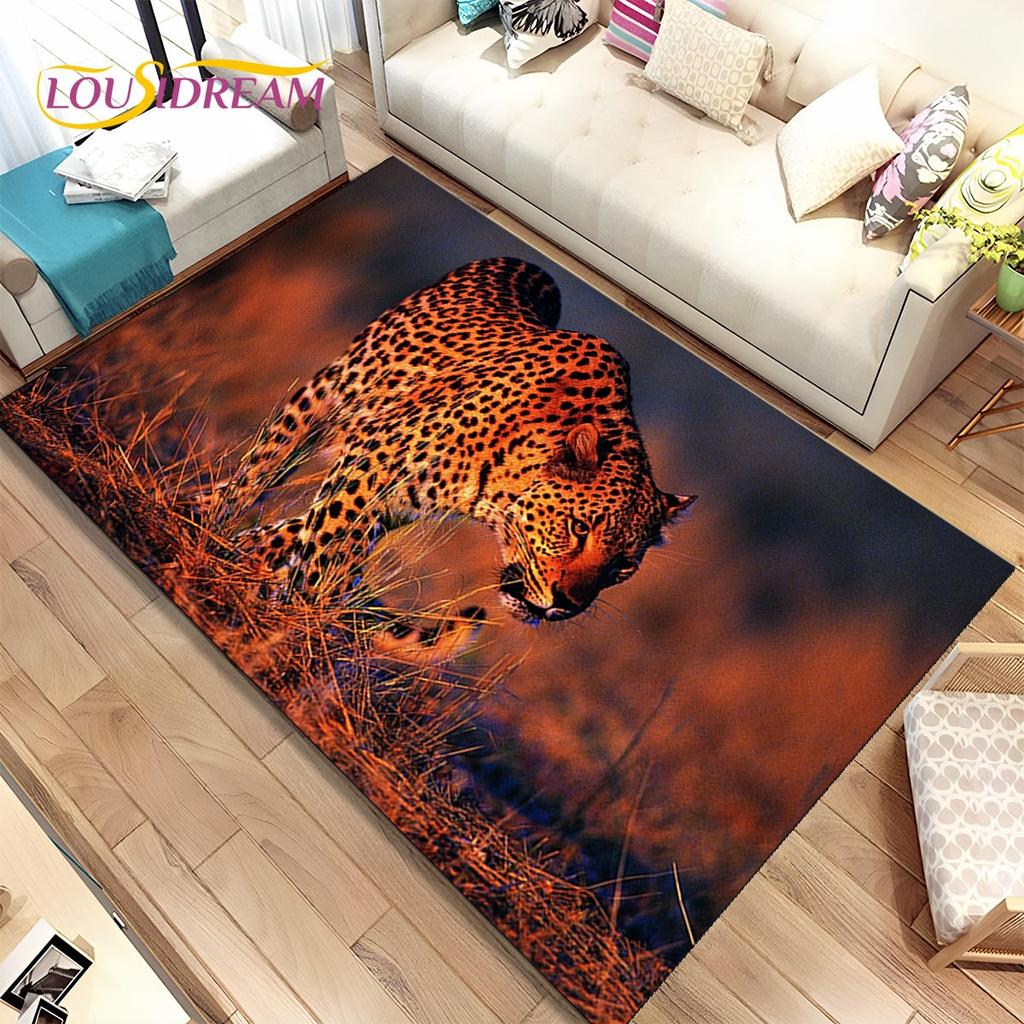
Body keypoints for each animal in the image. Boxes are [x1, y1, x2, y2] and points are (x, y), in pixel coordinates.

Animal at [219, 257, 694, 647]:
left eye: (622, 568)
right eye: (579, 527)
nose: (566, 604)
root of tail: (530, 264)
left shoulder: (392, 505)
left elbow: (299, 539)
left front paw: (259, 580)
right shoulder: (371, 467)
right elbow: (325, 558)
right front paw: (291, 627)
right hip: (317, 401)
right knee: (254, 477)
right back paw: (212, 520)